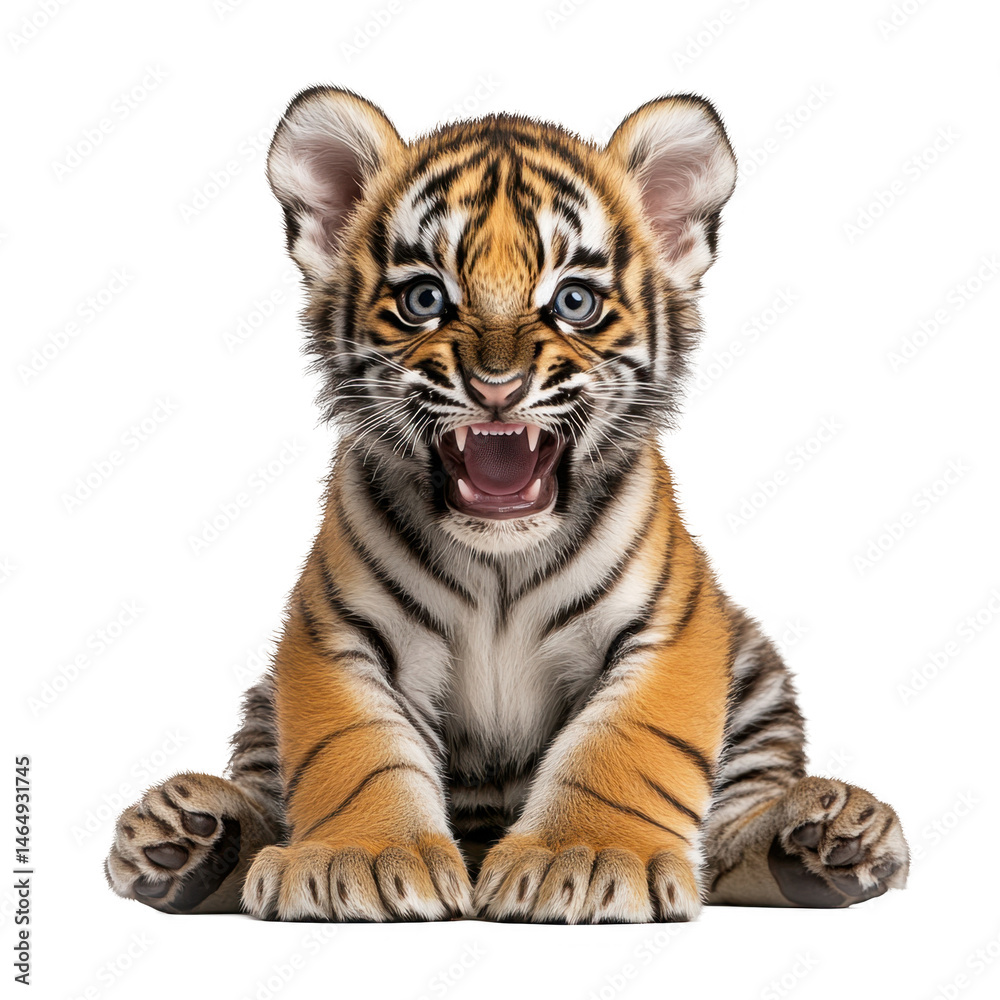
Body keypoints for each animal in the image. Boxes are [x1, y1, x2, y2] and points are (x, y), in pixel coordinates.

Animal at [104, 87, 909, 923]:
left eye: (575, 302)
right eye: (424, 298)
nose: (497, 386)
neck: (500, 555)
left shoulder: (671, 629)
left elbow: (624, 744)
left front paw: (584, 858)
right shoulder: (337, 631)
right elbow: (355, 749)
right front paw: (359, 858)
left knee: (733, 830)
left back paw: (824, 840)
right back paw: (186, 841)